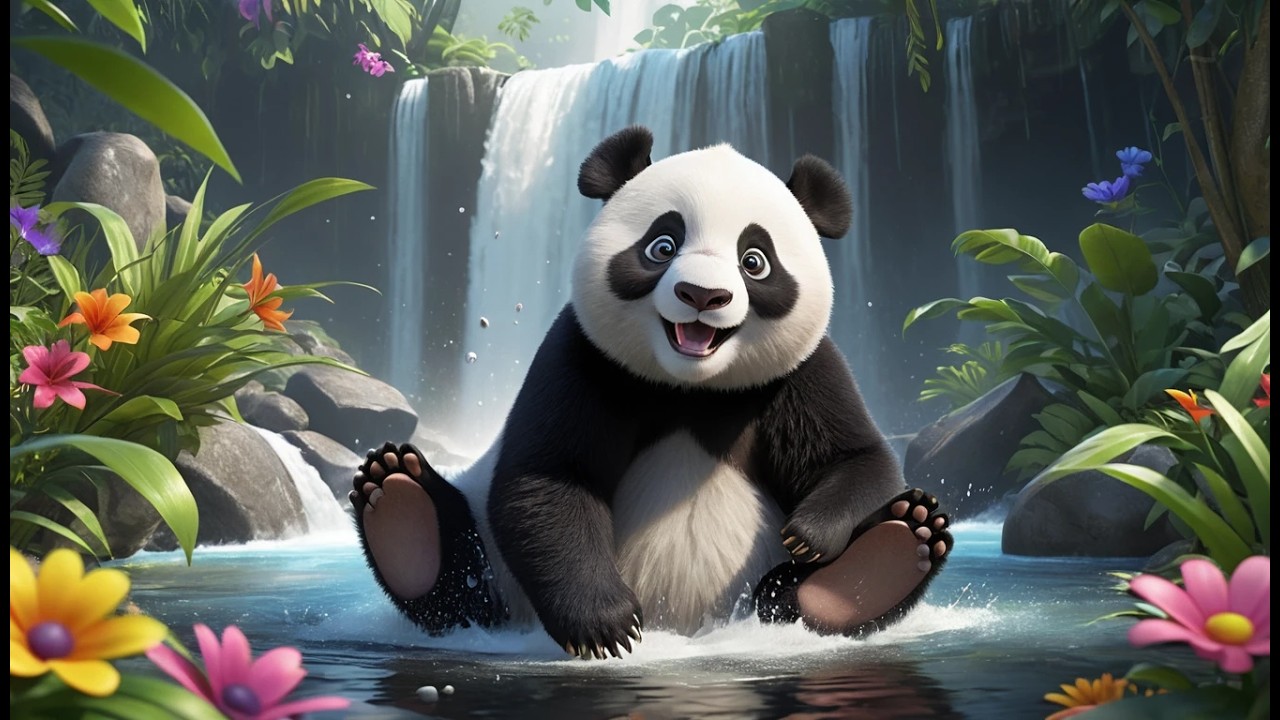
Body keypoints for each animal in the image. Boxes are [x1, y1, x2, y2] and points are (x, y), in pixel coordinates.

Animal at [350, 126, 952, 659]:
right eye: (662, 245)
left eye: (754, 261)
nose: (703, 295)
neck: (690, 389)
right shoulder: (580, 357)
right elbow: (548, 479)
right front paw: (606, 626)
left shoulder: (803, 372)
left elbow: (857, 458)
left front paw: (809, 534)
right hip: (495, 573)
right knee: (465, 588)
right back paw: (399, 503)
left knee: (795, 594)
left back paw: (887, 553)